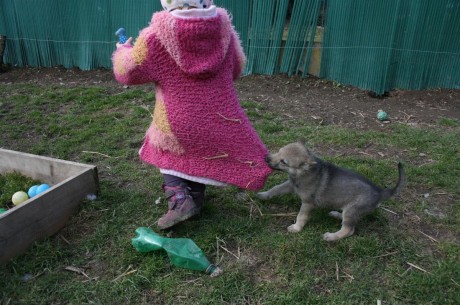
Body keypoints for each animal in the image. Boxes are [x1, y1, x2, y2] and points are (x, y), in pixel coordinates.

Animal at [256, 141, 404, 241]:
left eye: (284, 162)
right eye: (279, 151)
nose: (266, 158)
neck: (304, 173)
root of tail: (380, 192)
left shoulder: (307, 203)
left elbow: (301, 216)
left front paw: (296, 228)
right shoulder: (290, 185)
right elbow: (275, 189)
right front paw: (263, 195)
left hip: (352, 210)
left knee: (349, 229)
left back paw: (331, 237)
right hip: (351, 211)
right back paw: (336, 214)